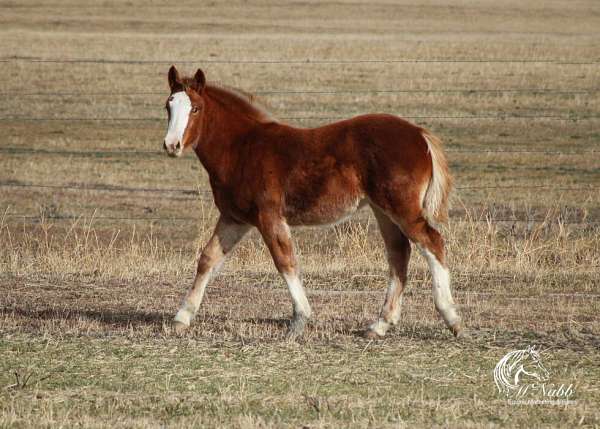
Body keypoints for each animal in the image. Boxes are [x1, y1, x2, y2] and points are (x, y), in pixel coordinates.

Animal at [159, 64, 464, 338]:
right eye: (168, 106)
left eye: (195, 109)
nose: (172, 145)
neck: (242, 149)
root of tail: (418, 133)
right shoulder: (235, 219)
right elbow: (208, 259)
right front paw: (181, 318)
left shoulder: (268, 217)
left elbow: (285, 261)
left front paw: (299, 319)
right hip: (383, 210)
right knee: (399, 253)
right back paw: (379, 325)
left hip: (402, 208)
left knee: (433, 242)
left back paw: (452, 319)